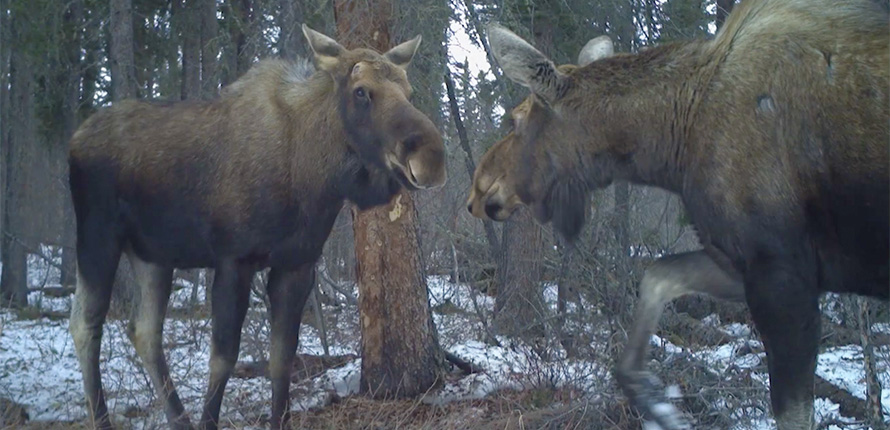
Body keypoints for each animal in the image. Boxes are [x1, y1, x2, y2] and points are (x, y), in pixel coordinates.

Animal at [67, 25, 444, 428]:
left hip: (153, 255)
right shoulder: (234, 260)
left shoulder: (297, 265)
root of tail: (74, 139)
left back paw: (178, 418)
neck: (316, 177)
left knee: (144, 331)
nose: (432, 156)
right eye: (361, 91)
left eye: (408, 91)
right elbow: (223, 360)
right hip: (97, 235)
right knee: (85, 325)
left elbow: (282, 360)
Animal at [468, 0, 884, 430]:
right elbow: (656, 275)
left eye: (515, 119)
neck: (674, 148)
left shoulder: (782, 273)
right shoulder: (738, 260)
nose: (476, 191)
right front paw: (654, 399)